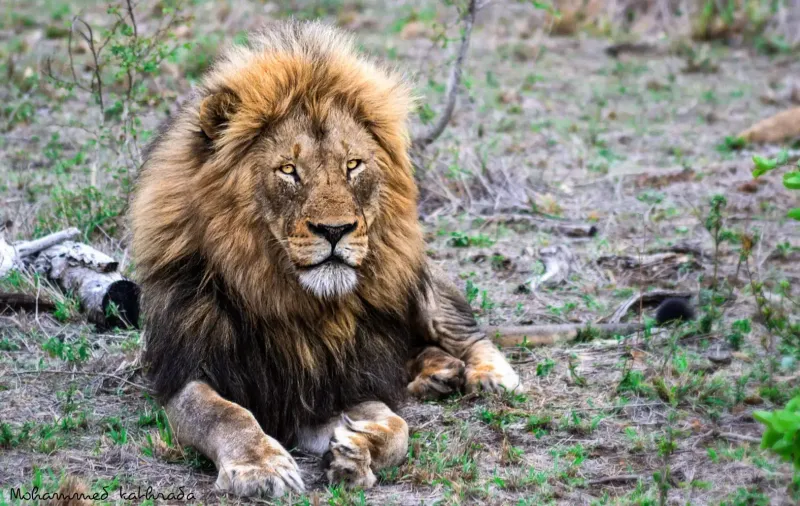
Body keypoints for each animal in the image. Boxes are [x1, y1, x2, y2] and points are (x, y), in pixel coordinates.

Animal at [131, 21, 522, 498]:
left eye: (352, 165)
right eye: (288, 170)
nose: (335, 231)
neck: (291, 302)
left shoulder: (337, 384)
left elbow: (397, 427)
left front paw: (355, 452)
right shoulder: (186, 373)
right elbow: (225, 414)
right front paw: (261, 466)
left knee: (469, 333)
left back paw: (487, 375)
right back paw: (438, 373)